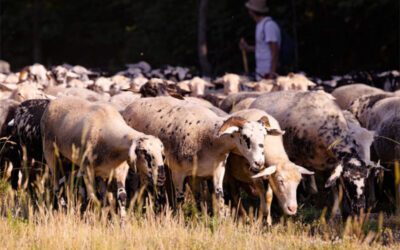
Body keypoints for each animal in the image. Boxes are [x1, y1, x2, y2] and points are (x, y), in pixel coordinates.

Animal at [122, 95, 272, 213]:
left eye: (264, 135)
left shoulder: (216, 171)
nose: (259, 163)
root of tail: (132, 104)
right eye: (245, 137)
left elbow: (218, 199)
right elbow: (180, 200)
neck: (209, 139)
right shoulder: (178, 172)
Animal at [248, 90, 382, 215]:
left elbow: (334, 188)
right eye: (347, 179)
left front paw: (336, 213)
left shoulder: (331, 165)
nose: (360, 207)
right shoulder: (297, 160)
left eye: (365, 178)